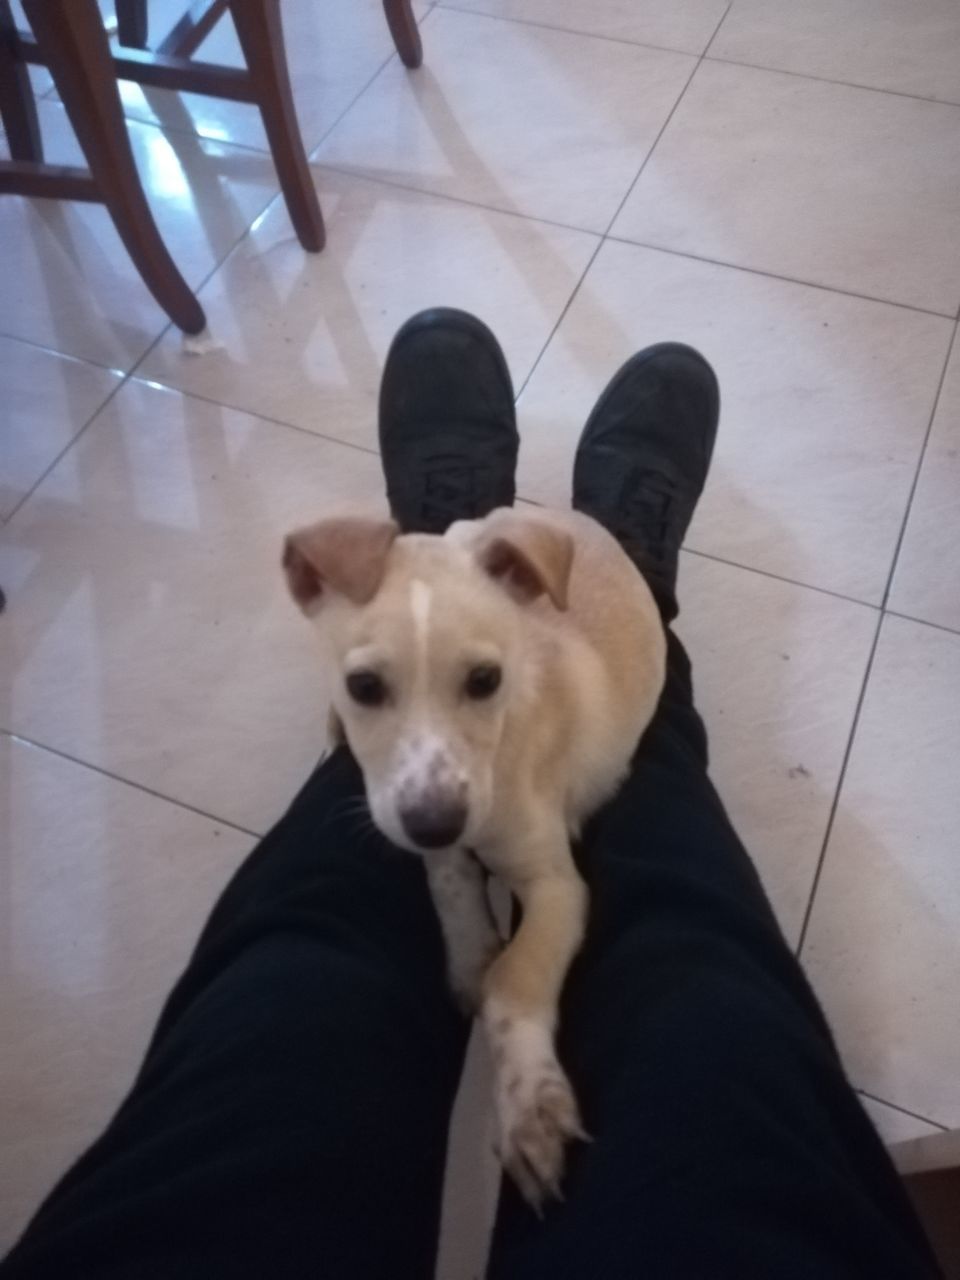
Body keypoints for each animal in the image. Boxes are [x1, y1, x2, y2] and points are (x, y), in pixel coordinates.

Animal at [281, 504, 665, 1203]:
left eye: (486, 681)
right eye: (364, 686)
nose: (436, 824)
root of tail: (560, 514)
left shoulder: (557, 886)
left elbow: (515, 977)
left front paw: (528, 1104)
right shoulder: (421, 819)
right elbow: (450, 883)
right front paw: (470, 957)